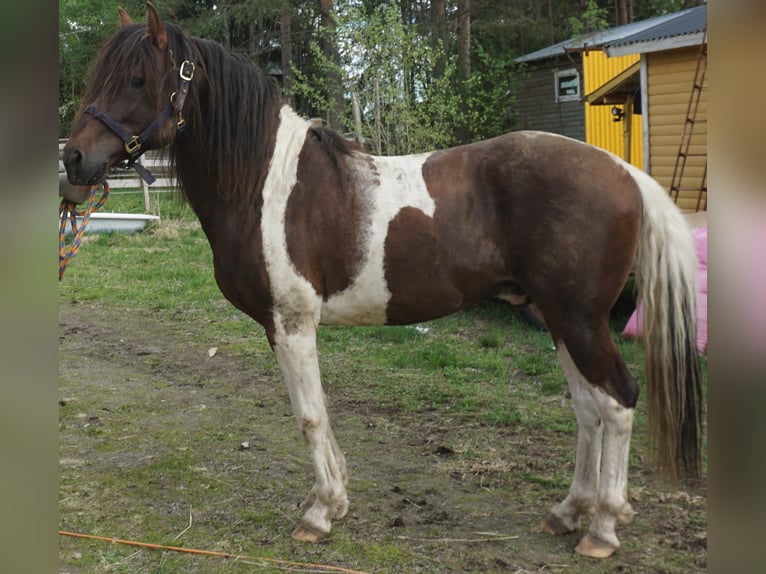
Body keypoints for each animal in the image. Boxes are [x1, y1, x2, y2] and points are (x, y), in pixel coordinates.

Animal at [63, 3, 703, 559]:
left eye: (138, 79)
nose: (73, 161)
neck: (265, 184)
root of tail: (622, 171)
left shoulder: (292, 322)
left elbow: (310, 415)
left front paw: (320, 513)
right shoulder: (281, 327)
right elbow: (316, 410)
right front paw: (336, 499)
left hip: (580, 319)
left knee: (617, 403)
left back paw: (602, 529)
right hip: (557, 318)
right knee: (588, 409)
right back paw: (569, 512)